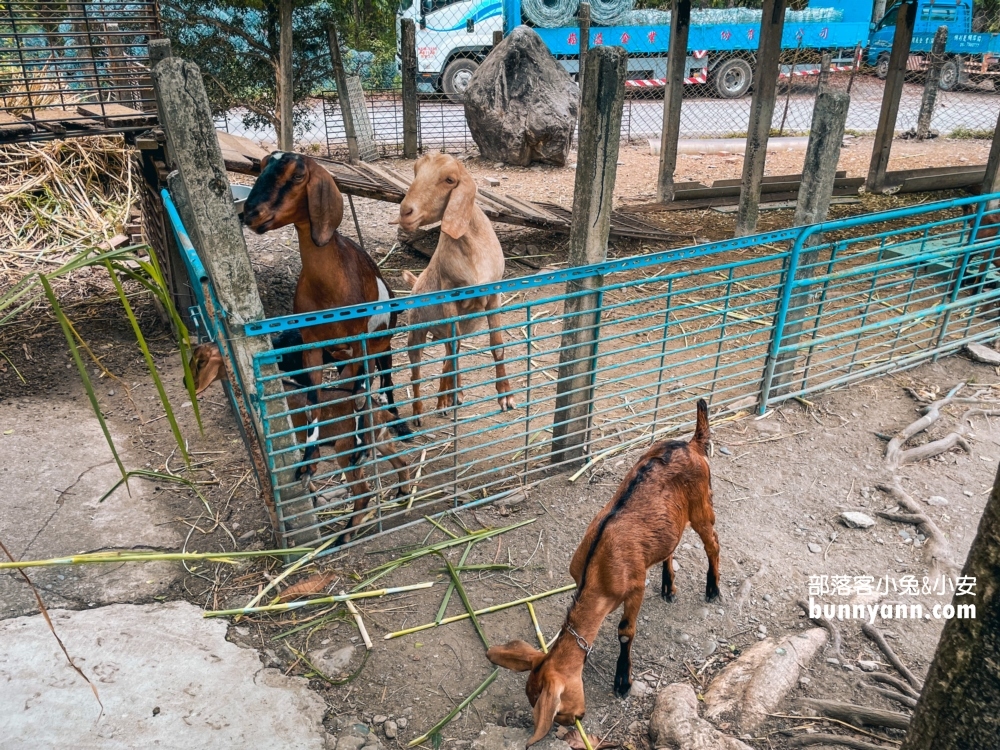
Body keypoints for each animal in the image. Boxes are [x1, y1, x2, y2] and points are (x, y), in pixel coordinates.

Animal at [189, 338, 412, 544]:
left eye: (200, 362)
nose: (186, 382)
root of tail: (381, 412)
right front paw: (311, 493)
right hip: (382, 439)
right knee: (402, 462)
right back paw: (403, 494)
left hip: (347, 451)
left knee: (364, 493)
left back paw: (345, 536)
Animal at [242, 151, 410, 482]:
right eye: (262, 166)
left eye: (297, 176)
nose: (250, 213)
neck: (330, 289)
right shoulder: (312, 345)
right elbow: (315, 399)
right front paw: (309, 459)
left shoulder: (359, 342)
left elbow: (357, 392)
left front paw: (359, 446)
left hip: (381, 344)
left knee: (383, 378)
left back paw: (398, 423)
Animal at [390, 151, 516, 426]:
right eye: (415, 171)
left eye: (449, 180)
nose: (405, 212)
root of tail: (414, 284)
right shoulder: (449, 295)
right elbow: (454, 352)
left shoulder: (494, 293)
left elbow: (497, 345)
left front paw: (506, 396)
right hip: (417, 331)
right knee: (417, 370)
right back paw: (420, 412)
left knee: (448, 354)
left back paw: (449, 397)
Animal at [486, 400, 716, 748]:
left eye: (558, 711)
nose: (575, 722)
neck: (596, 573)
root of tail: (690, 443)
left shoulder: (634, 586)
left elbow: (625, 631)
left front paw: (622, 682)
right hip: (672, 519)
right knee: (671, 544)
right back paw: (668, 588)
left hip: (702, 501)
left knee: (713, 543)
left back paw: (713, 590)